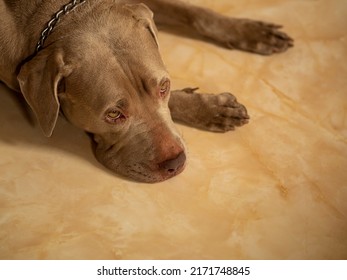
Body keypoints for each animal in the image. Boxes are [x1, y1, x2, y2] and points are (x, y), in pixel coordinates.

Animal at [0, 0, 294, 183]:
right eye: (113, 114)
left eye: (164, 87)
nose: (176, 162)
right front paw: (212, 108)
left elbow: (193, 12)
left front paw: (248, 30)